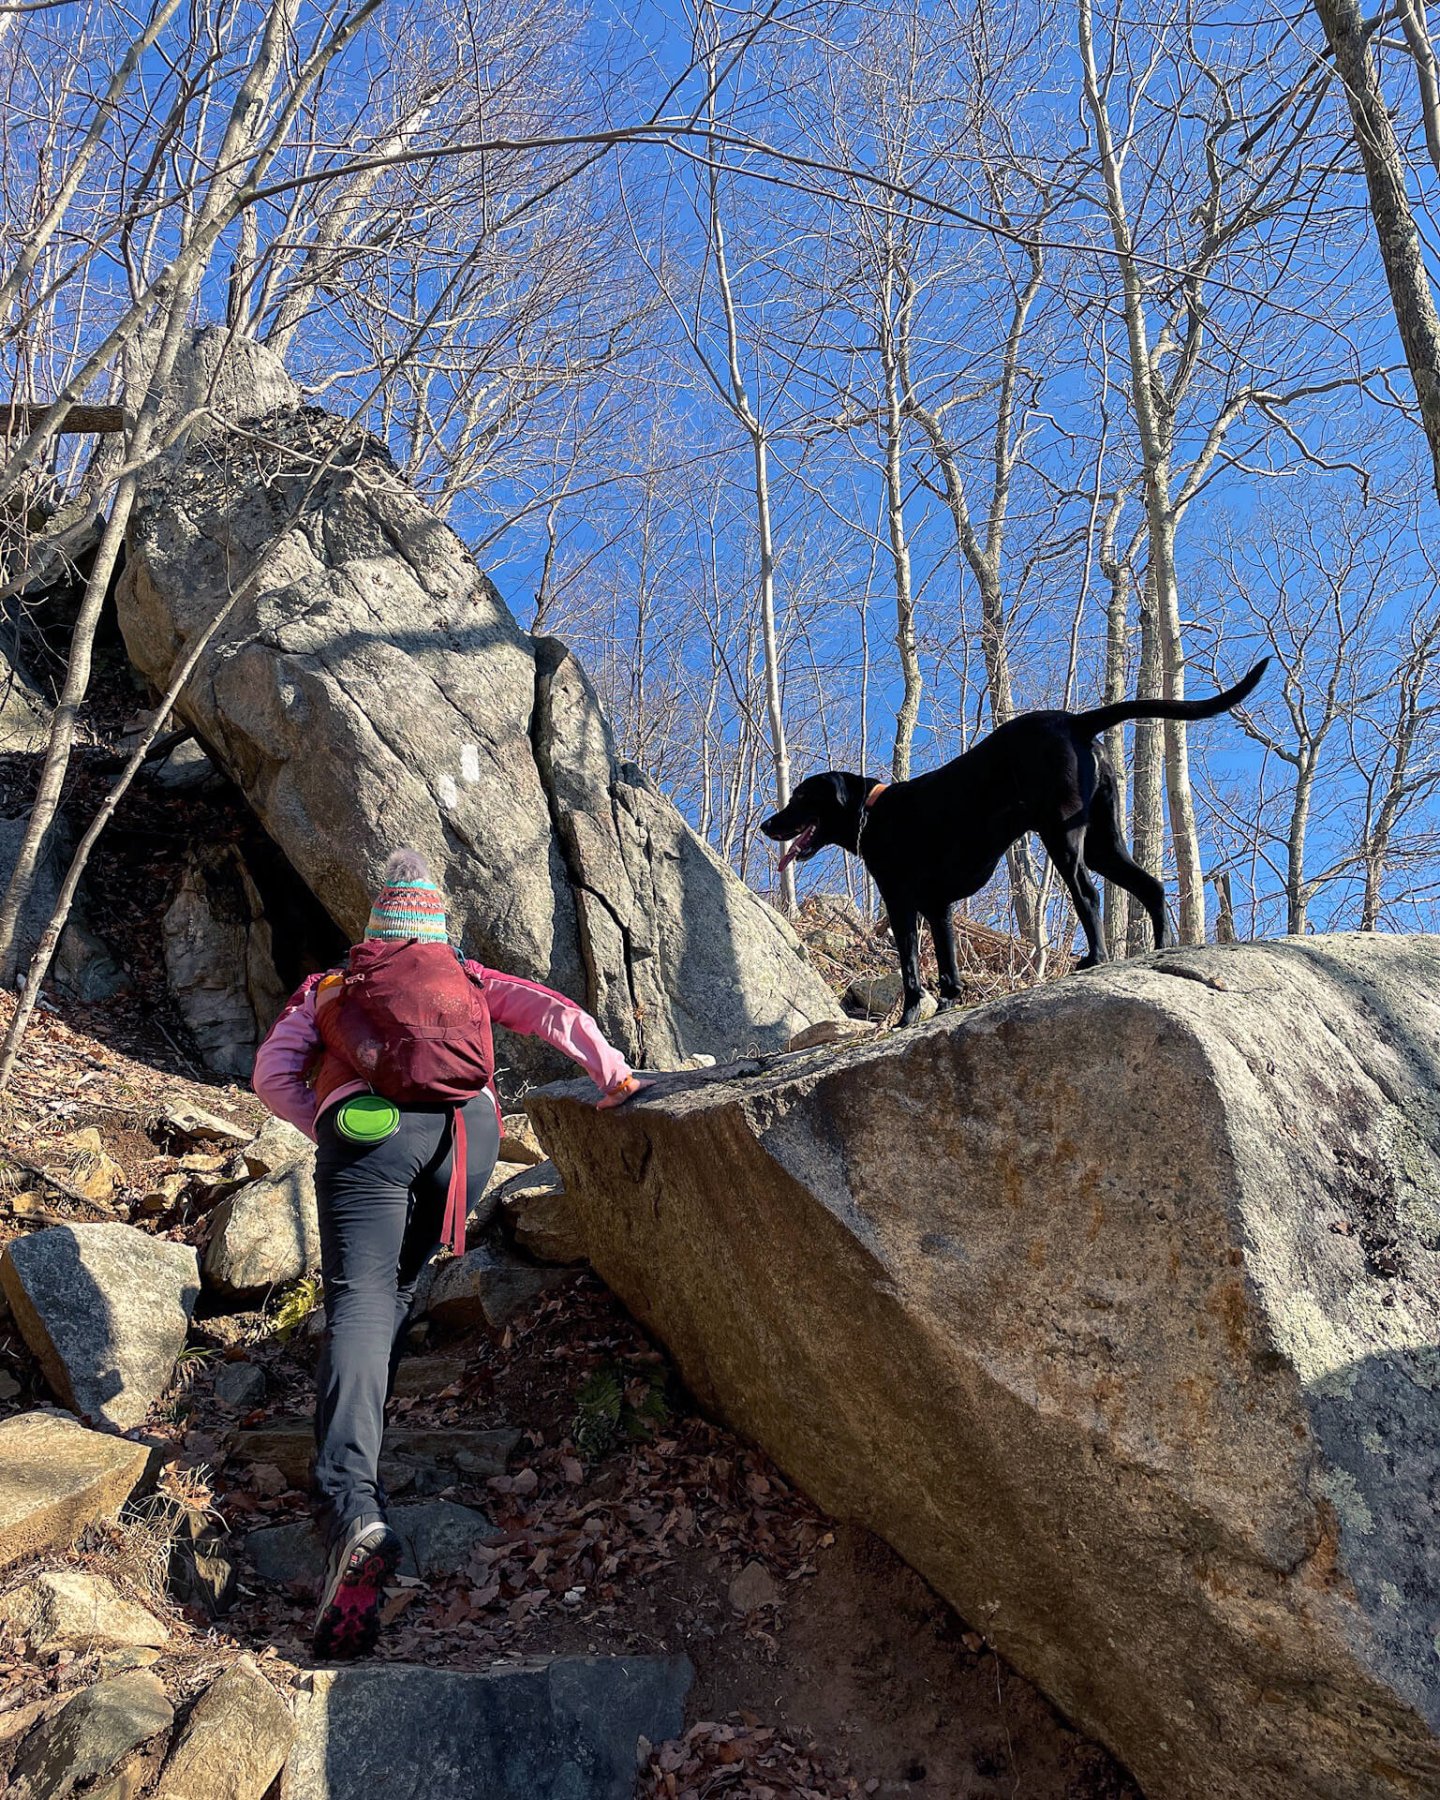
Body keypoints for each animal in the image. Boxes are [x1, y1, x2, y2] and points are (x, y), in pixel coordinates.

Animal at [759, 662, 1267, 1029]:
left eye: (801, 797)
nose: (766, 824)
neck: (873, 812)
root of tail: (1074, 721)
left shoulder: (901, 905)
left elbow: (910, 970)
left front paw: (907, 1018)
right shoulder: (939, 908)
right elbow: (947, 967)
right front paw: (948, 1004)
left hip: (1062, 837)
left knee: (1089, 895)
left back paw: (1095, 960)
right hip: (1102, 841)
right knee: (1151, 888)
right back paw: (1156, 953)